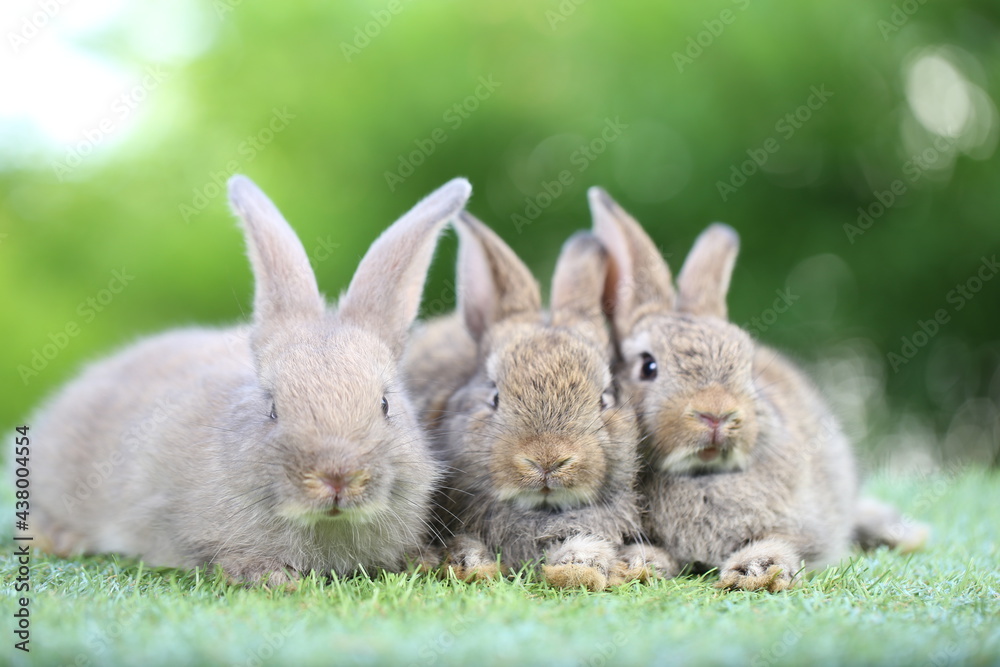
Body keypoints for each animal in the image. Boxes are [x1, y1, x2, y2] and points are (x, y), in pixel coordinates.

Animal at [589, 187, 862, 592]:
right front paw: (639, 564)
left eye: (745, 363)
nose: (716, 414)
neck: (703, 475)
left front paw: (756, 570)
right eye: (648, 366)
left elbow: (778, 541)